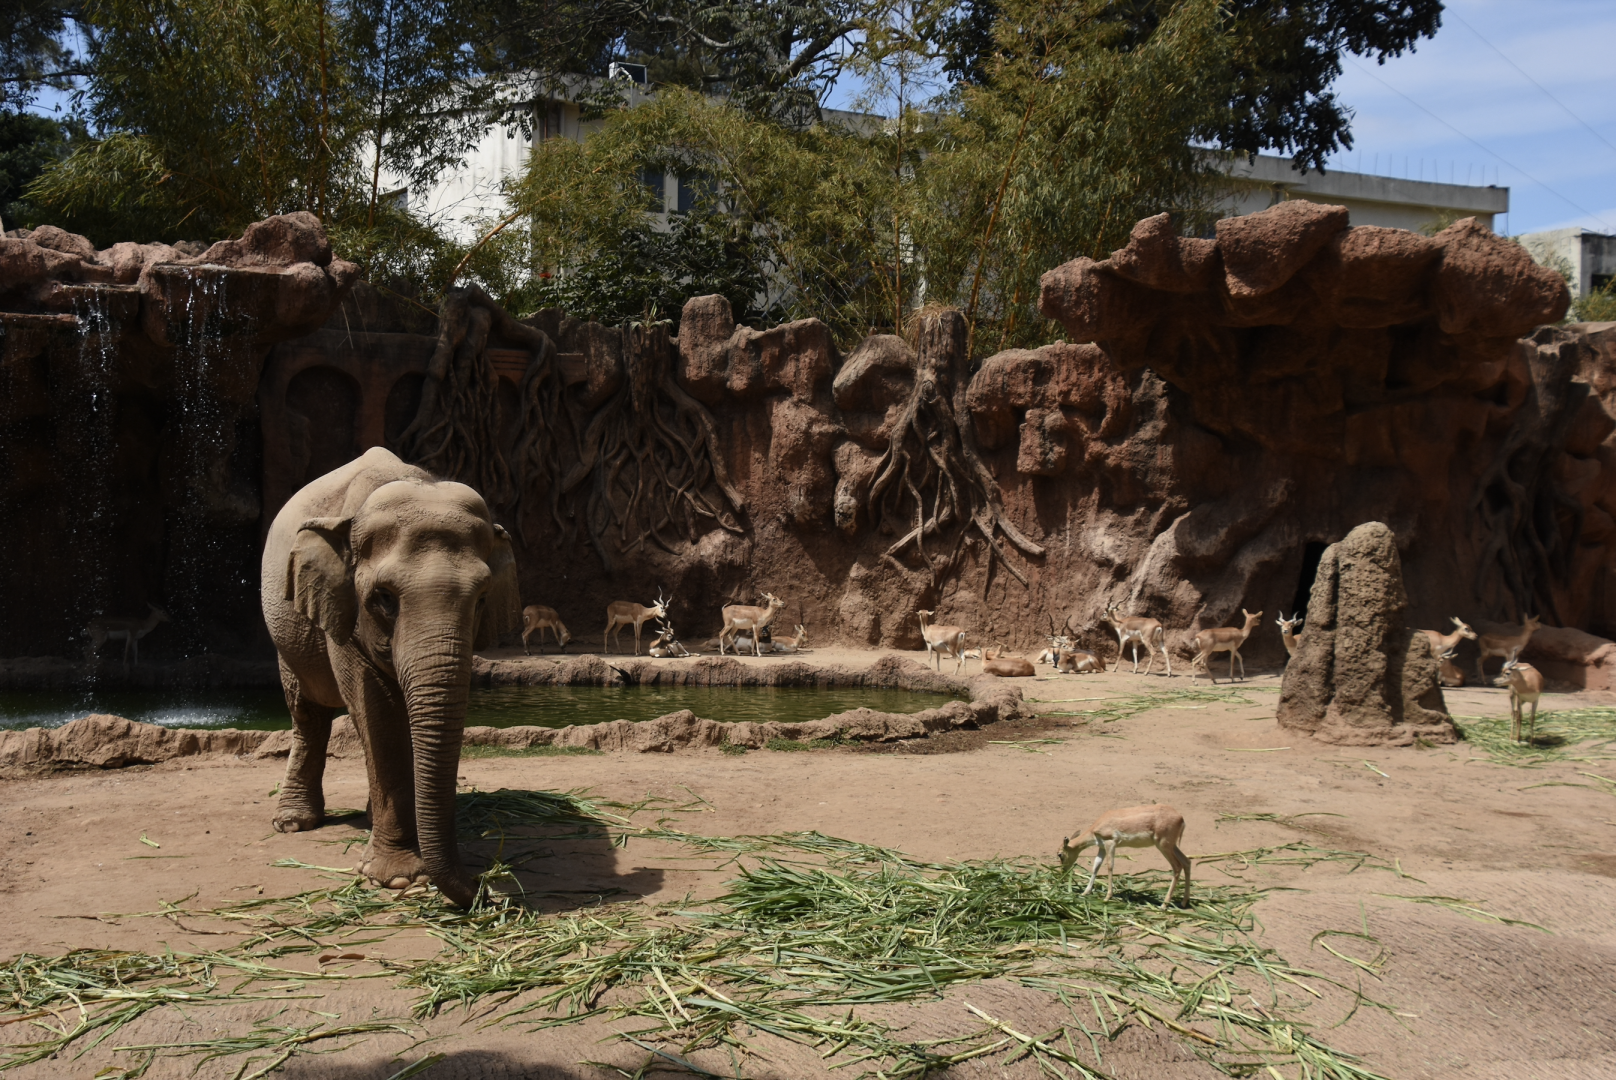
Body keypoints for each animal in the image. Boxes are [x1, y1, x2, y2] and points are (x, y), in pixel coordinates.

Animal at [261, 446, 520, 907]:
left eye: (483, 598)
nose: (487, 890)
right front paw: (398, 880)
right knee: (307, 713)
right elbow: (377, 711)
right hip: (286, 635)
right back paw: (293, 823)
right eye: (383, 598)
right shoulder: (343, 610)